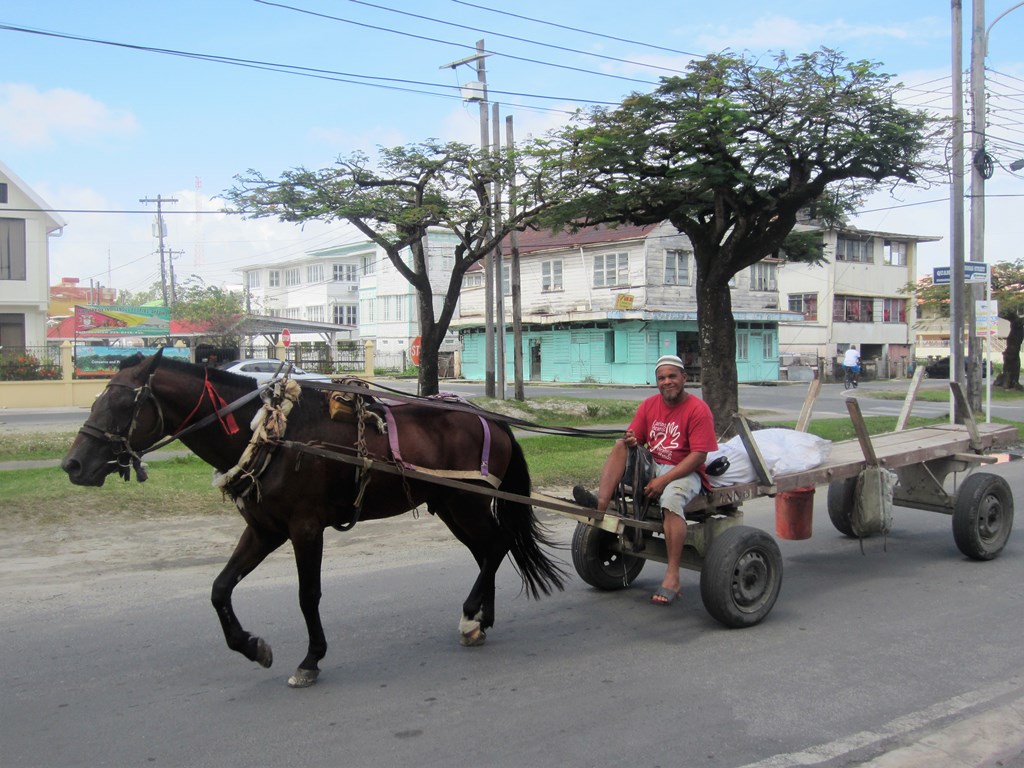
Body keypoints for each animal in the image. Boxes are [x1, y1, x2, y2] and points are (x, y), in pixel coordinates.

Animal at [61, 352, 569, 688]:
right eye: (98, 399)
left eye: (122, 405)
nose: (73, 465)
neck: (274, 434)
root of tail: (492, 418)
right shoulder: (263, 530)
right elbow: (220, 588)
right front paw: (251, 646)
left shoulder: (305, 529)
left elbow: (308, 596)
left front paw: (311, 659)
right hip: (452, 505)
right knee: (488, 551)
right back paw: (481, 618)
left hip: (466, 503)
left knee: (496, 546)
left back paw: (470, 617)